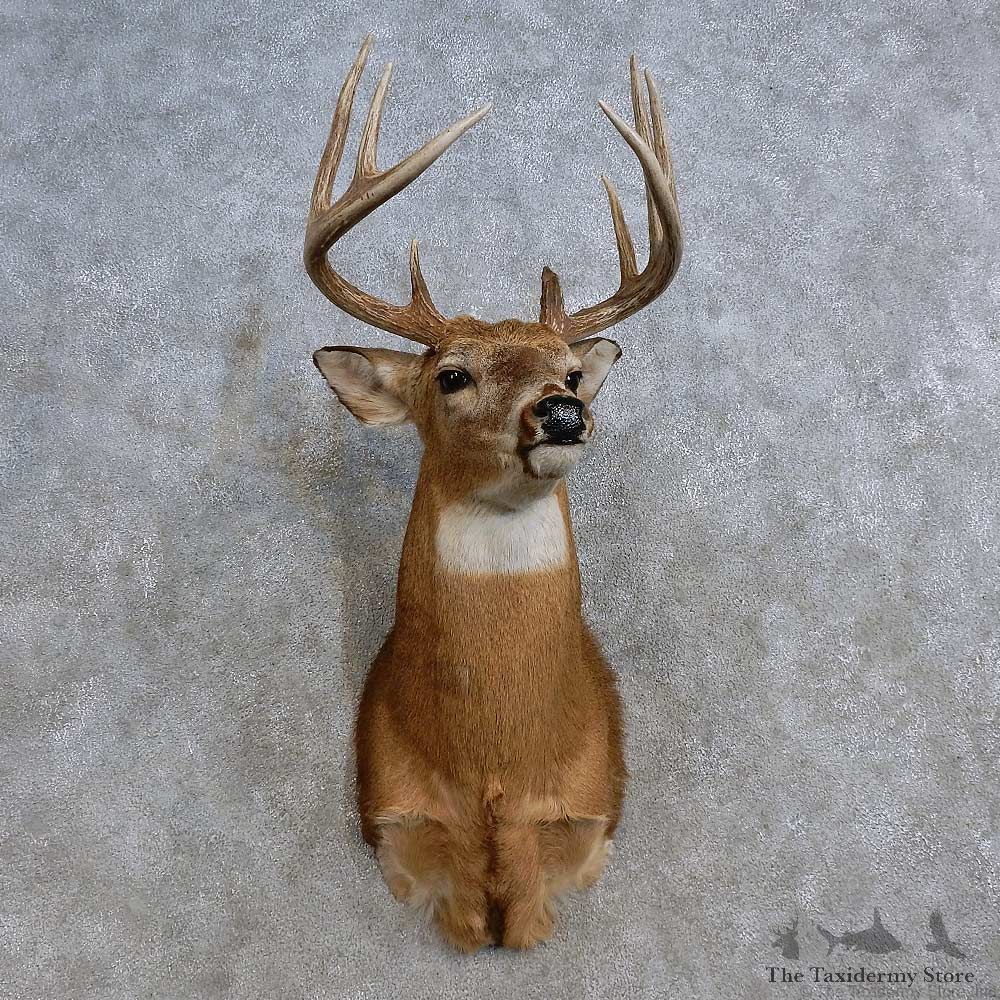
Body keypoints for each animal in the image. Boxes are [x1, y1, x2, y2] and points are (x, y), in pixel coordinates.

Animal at [305, 35, 682, 952]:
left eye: (572, 370)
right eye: (451, 374)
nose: (562, 413)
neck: (493, 769)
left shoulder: (588, 809)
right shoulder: (394, 815)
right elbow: (458, 904)